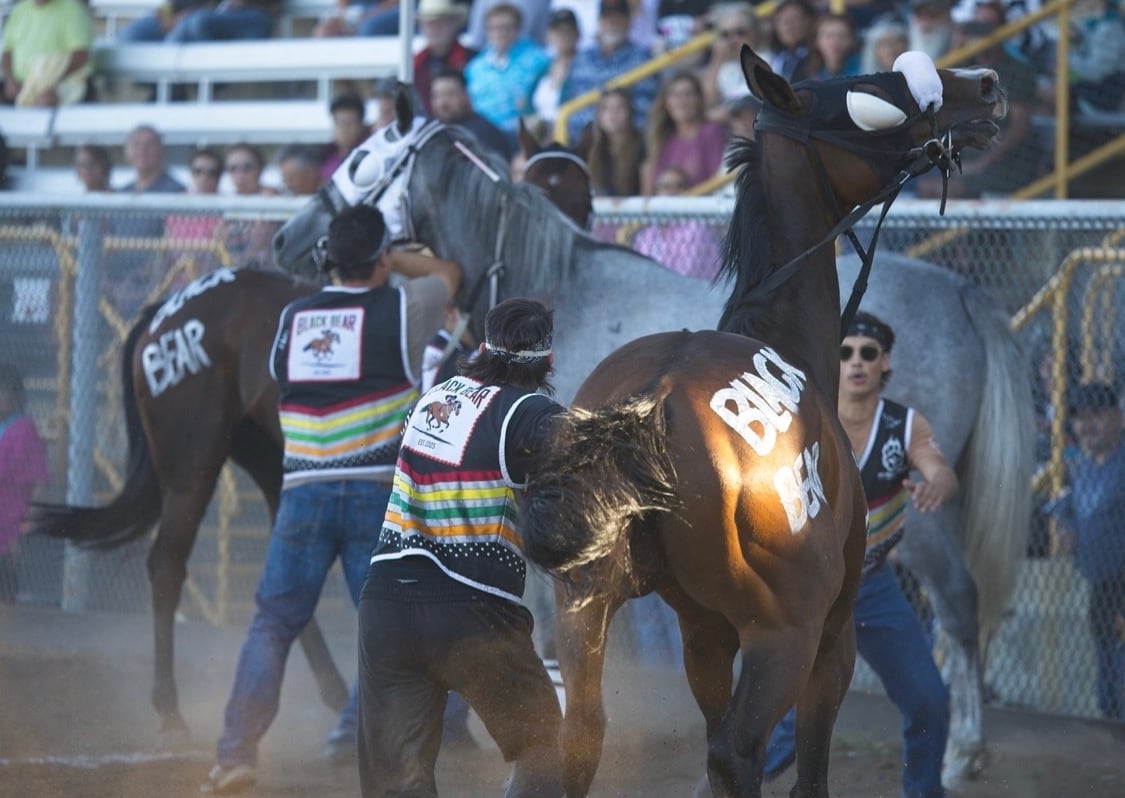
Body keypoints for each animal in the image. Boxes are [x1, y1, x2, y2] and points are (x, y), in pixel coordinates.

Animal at [273, 52, 1011, 796]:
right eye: (875, 93)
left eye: (360, 159)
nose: (289, 236)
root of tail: (962, 288)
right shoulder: (818, 630)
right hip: (797, 622)